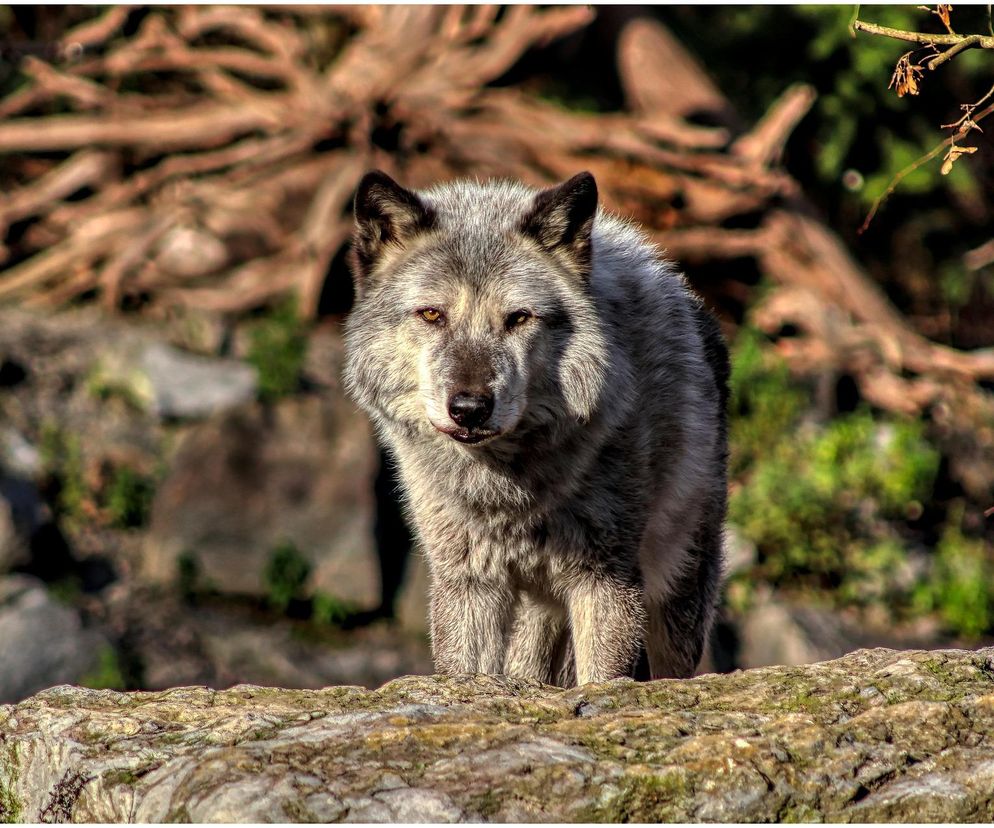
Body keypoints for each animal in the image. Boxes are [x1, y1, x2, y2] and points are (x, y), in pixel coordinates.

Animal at [342, 170, 728, 684]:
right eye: (431, 314)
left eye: (518, 318)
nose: (469, 408)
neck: (508, 489)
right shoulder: (467, 583)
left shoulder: (606, 580)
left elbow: (605, 679)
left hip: (676, 596)